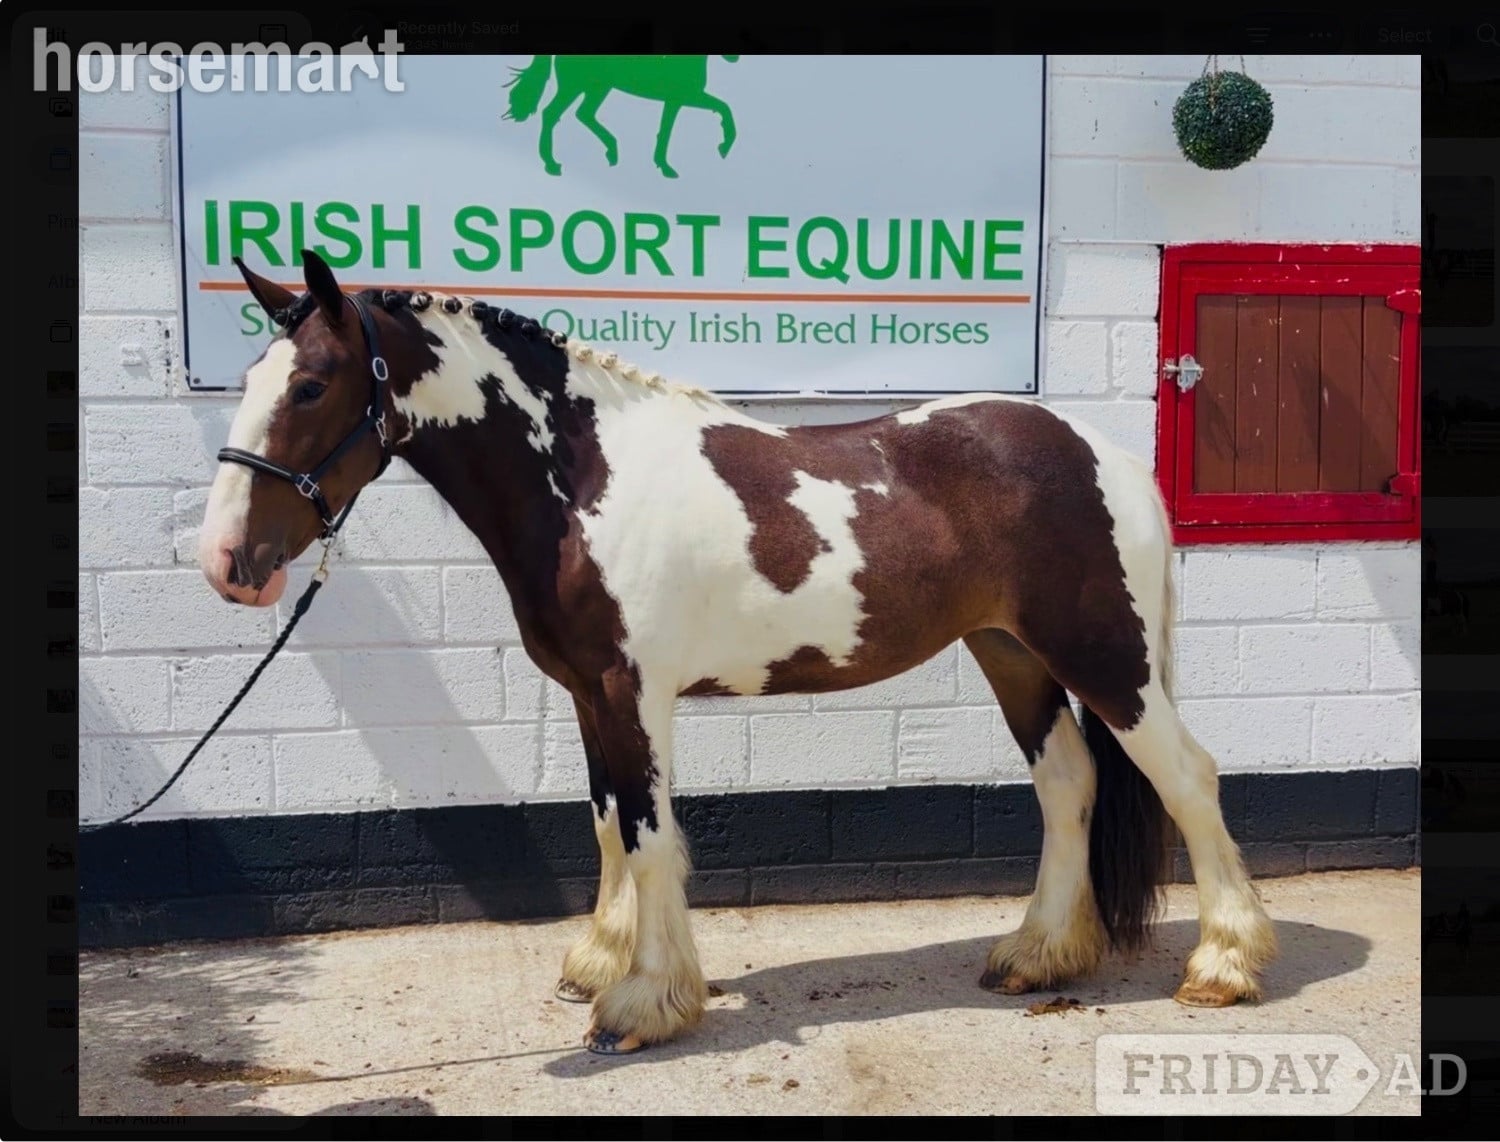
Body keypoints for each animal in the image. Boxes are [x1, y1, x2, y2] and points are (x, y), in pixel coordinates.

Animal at [197, 249, 1279, 1055]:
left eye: (309, 384)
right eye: (248, 380)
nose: (227, 563)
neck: (582, 478)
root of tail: (1108, 455)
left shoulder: (634, 691)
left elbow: (648, 833)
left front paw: (644, 1003)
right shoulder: (590, 692)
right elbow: (607, 823)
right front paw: (601, 961)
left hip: (1108, 658)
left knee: (1188, 778)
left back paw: (1222, 967)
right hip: (1012, 651)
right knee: (1068, 782)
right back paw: (1037, 955)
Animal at [502, 55, 739, 179]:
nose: (735, 57)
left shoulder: (675, 99)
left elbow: (665, 130)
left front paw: (663, 164)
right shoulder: (686, 95)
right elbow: (724, 108)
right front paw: (724, 146)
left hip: (599, 86)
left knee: (584, 113)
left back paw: (612, 150)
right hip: (575, 85)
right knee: (552, 113)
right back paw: (551, 163)